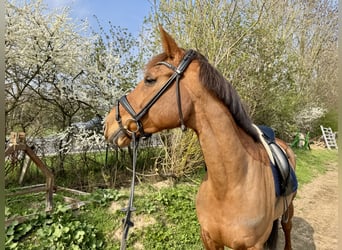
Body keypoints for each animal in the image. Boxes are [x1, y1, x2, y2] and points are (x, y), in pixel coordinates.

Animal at [104, 26, 296, 249]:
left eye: (150, 80)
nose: (108, 123)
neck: (230, 186)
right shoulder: (208, 238)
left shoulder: (253, 245)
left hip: (289, 209)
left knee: (288, 228)